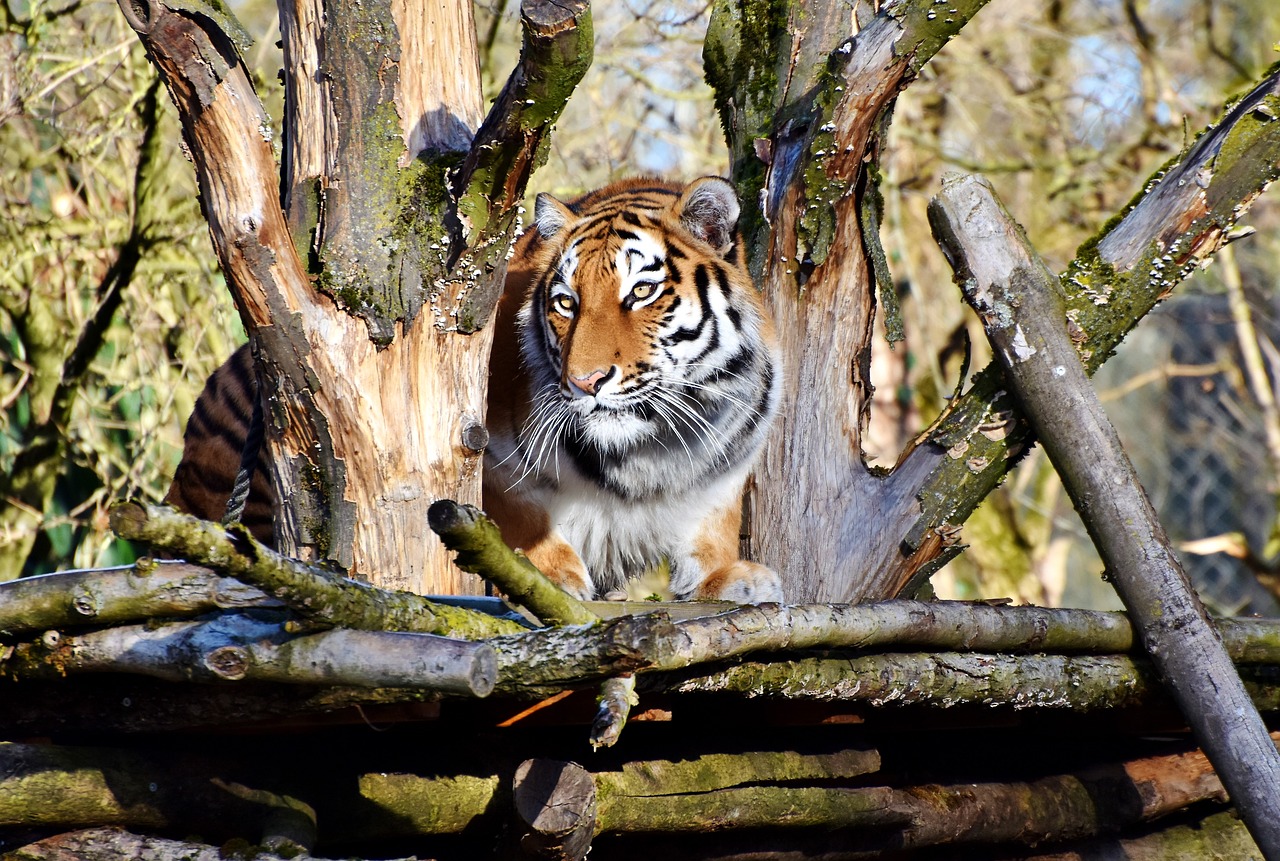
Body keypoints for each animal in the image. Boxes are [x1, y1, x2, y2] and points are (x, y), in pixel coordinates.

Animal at [160, 173, 778, 601]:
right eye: (566, 303)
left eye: (641, 293)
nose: (585, 382)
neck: (650, 447)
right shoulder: (485, 453)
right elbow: (518, 516)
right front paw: (551, 574)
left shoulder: (723, 470)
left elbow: (712, 530)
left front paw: (732, 576)